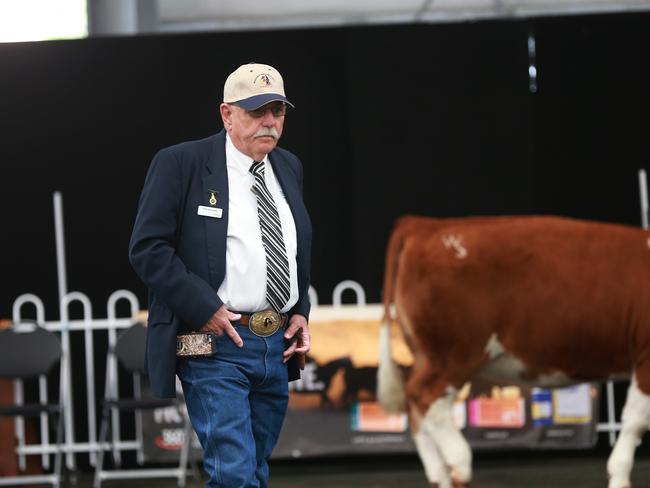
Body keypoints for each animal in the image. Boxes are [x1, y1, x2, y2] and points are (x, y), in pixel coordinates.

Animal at [378, 215, 648, 488]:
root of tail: (425, 225)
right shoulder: (646, 356)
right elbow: (635, 420)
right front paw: (619, 478)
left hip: (429, 354)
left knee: (415, 408)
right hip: (454, 352)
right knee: (424, 395)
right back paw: (459, 462)